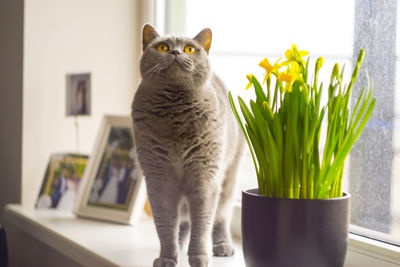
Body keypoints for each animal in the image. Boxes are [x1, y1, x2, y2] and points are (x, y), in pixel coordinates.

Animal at [131, 24, 244, 266]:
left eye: (190, 49)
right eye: (162, 47)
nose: (175, 52)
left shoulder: (205, 177)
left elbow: (202, 223)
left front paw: (199, 258)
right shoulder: (158, 179)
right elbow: (165, 225)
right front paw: (166, 257)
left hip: (228, 179)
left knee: (220, 218)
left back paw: (222, 246)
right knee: (182, 221)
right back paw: (181, 245)